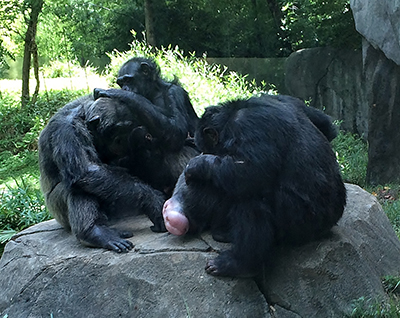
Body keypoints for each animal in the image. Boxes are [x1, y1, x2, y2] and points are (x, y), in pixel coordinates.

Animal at [38, 95, 166, 252]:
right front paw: (153, 201)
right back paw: (93, 232)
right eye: (117, 130)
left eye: (128, 127)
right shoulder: (66, 130)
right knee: (78, 185)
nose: (121, 140)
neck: (83, 118)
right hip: (58, 211)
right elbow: (87, 169)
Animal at [162, 94, 346, 276]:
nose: (202, 152)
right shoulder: (287, 99)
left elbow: (250, 169)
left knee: (250, 201)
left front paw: (197, 165)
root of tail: (329, 224)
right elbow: (325, 125)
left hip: (303, 221)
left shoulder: (248, 125)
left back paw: (235, 262)